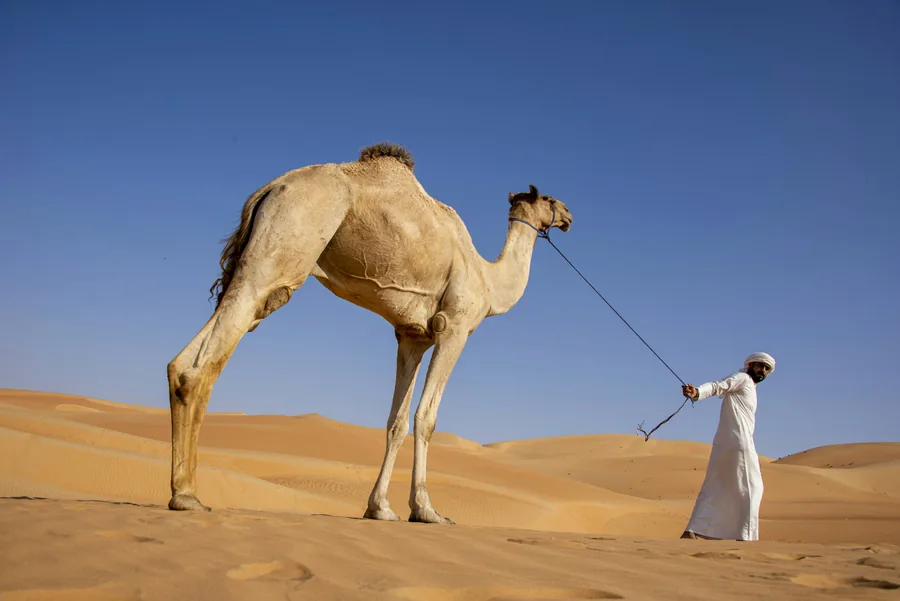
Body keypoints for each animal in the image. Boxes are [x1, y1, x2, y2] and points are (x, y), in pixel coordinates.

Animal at [166, 142, 573, 524]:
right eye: (550, 200)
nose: (569, 216)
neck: (489, 281)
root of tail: (270, 188)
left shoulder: (412, 336)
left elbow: (396, 421)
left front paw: (379, 508)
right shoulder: (453, 327)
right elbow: (426, 418)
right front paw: (427, 510)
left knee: (184, 361)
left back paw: (182, 490)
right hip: (283, 249)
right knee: (203, 363)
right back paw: (186, 495)